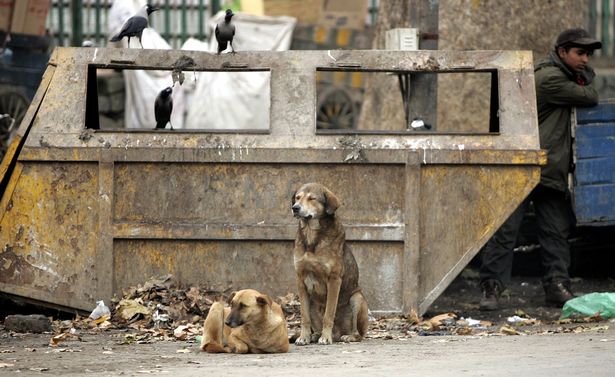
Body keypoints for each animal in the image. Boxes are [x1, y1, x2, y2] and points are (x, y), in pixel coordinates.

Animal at [292, 182, 368, 344]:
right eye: (297, 197)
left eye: (312, 198)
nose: (295, 208)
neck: (311, 237)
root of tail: (337, 334)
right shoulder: (300, 279)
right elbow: (304, 317)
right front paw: (303, 337)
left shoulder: (334, 279)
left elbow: (329, 314)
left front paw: (325, 338)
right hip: (312, 303)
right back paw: (314, 335)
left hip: (357, 299)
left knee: (358, 334)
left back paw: (346, 336)